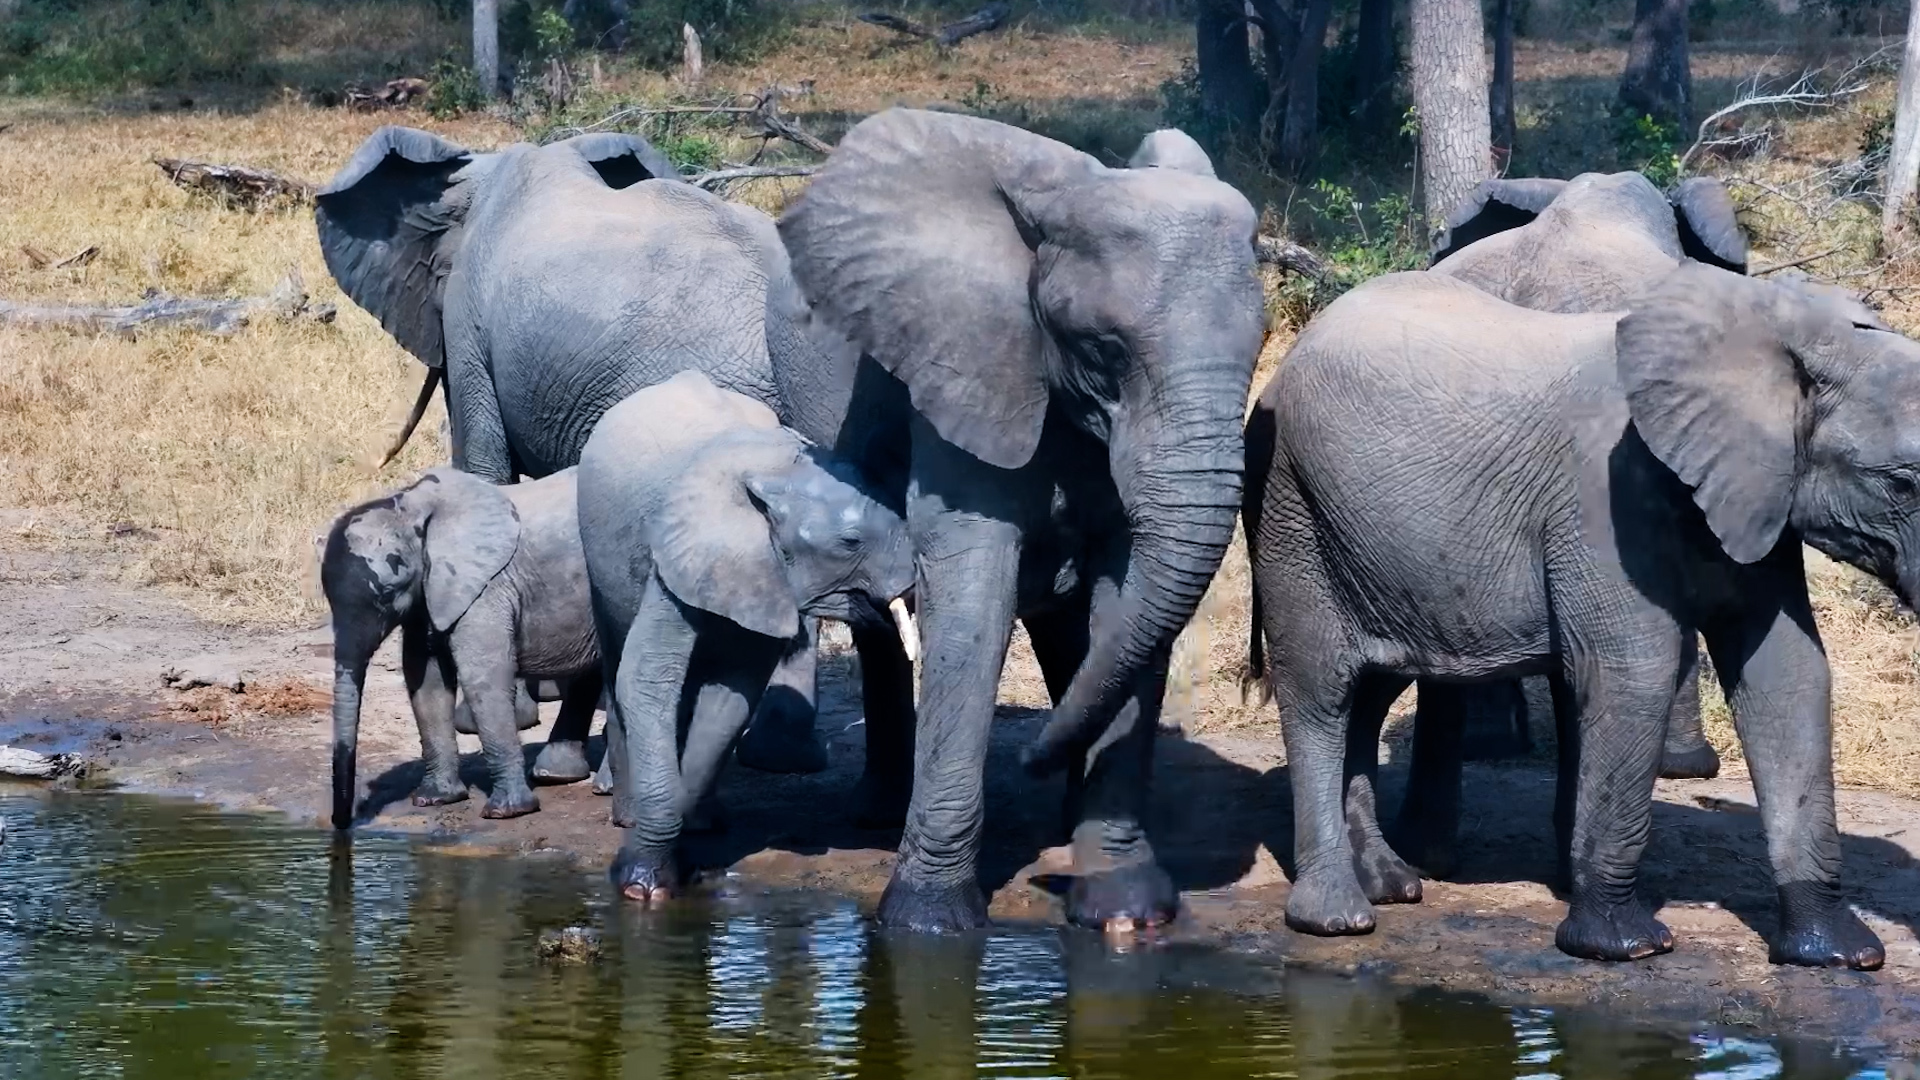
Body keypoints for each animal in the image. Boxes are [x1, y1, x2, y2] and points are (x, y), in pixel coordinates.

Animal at [320, 466, 601, 829]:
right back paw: (558, 774)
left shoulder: (487, 588)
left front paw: (506, 812)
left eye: (387, 595)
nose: (342, 823)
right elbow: (426, 680)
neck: (411, 503)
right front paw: (435, 799)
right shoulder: (430, 592)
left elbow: (484, 675)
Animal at [577, 372, 917, 900]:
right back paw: (627, 814)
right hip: (598, 559)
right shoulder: (681, 550)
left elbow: (731, 698)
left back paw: (705, 820)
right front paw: (640, 885)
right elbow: (648, 679)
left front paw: (683, 852)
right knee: (617, 665)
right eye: (850, 542)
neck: (777, 473)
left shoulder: (766, 578)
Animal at [774, 110, 1267, 932]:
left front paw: (1125, 911)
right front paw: (927, 922)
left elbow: (1128, 590)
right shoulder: (964, 364)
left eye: (1259, 350)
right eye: (1105, 349)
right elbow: (972, 588)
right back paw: (882, 812)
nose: (1033, 750)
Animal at [1244, 262, 1901, 970]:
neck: (1776, 327)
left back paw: (1391, 885)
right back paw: (1337, 918)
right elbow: (1635, 674)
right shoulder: (1602, 496)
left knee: (1370, 691)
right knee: (1322, 693)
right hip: (1292, 510)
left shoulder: (1762, 496)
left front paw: (1840, 954)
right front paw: (1626, 946)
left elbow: (1788, 675)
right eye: (1899, 482)